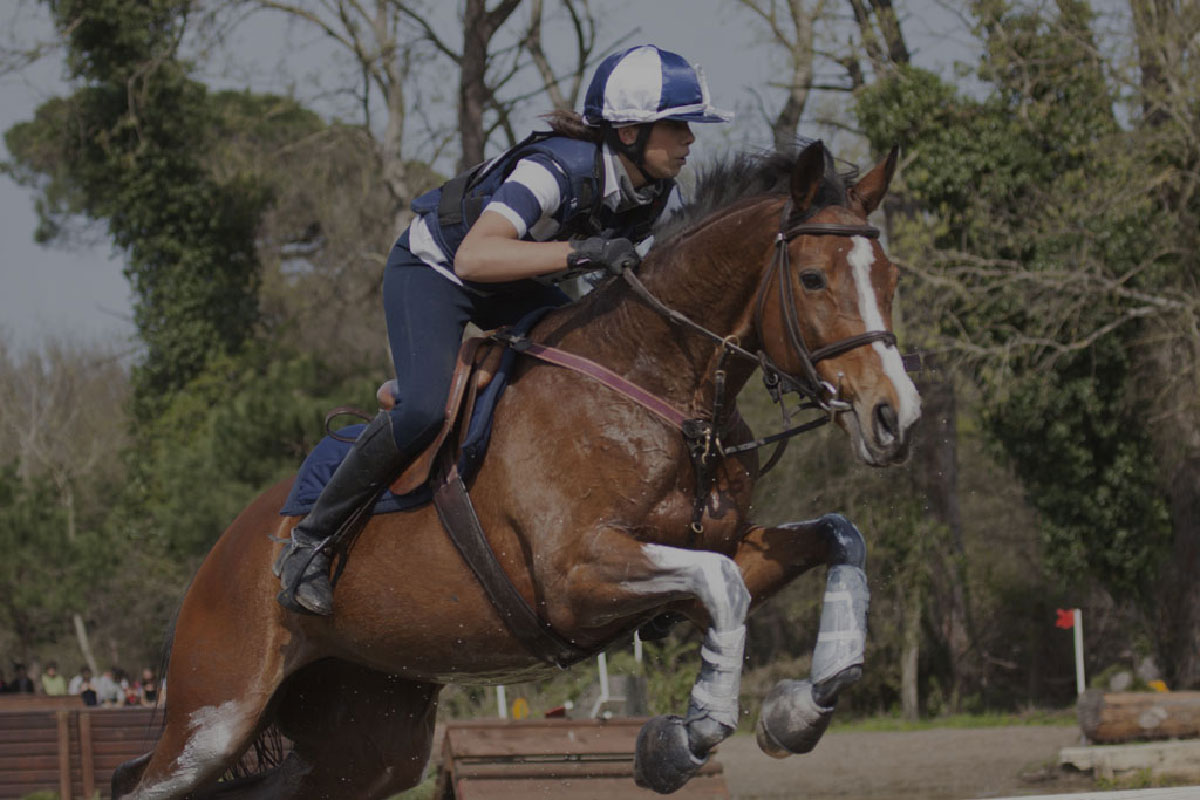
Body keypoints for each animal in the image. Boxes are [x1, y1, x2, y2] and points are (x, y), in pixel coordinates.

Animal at [112, 139, 921, 799]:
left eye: (890, 277)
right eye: (812, 279)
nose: (896, 417)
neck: (660, 386)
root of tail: (221, 554)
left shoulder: (709, 555)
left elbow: (838, 538)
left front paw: (802, 710)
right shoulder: (576, 578)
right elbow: (725, 588)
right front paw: (682, 743)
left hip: (369, 740)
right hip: (215, 716)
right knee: (148, 785)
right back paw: (303, 563)